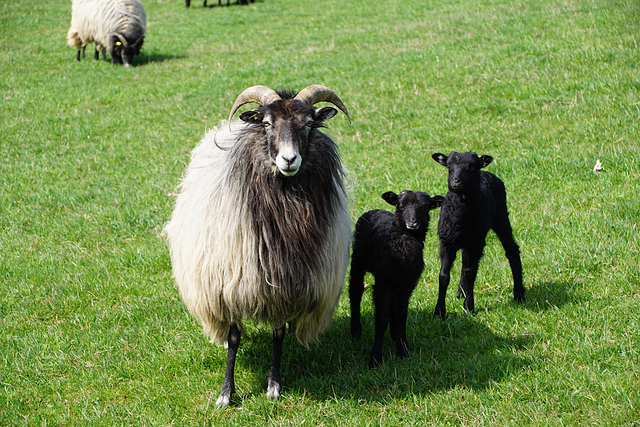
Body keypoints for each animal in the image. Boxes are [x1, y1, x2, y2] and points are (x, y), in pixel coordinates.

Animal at [350, 191, 444, 368]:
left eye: (425, 207)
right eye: (401, 206)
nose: (412, 222)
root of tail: (374, 210)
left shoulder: (408, 284)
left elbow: (401, 314)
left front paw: (403, 349)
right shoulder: (383, 283)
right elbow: (381, 319)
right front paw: (375, 358)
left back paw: (393, 333)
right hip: (358, 260)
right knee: (355, 292)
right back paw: (356, 329)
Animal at [430, 150, 524, 318]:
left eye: (472, 167)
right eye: (449, 167)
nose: (455, 181)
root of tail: (487, 172)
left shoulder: (475, 242)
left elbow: (470, 274)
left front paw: (469, 308)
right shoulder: (447, 243)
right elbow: (444, 275)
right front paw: (439, 311)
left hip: (500, 217)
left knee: (512, 250)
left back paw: (519, 293)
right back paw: (461, 292)